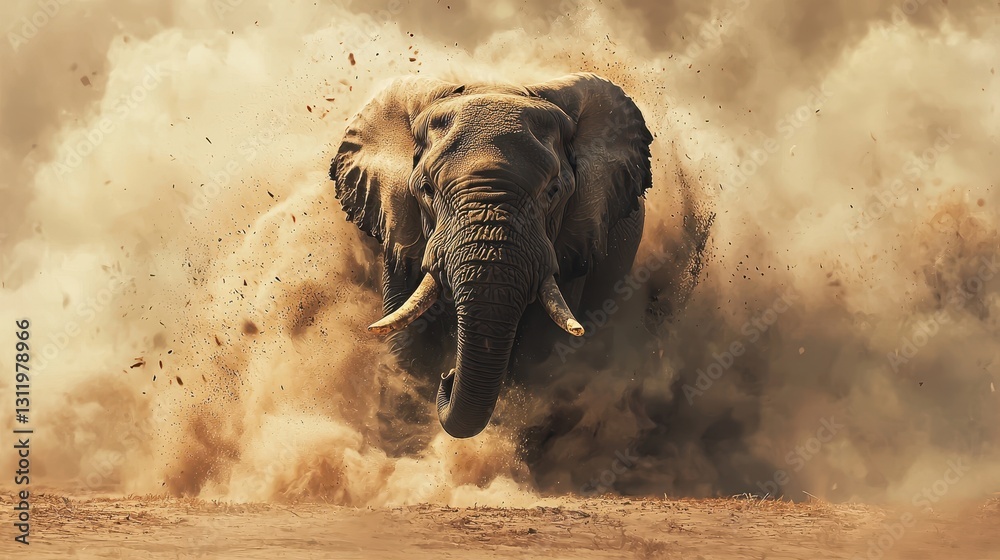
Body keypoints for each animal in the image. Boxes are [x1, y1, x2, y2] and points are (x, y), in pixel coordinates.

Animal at [330, 72, 654, 438]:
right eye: (426, 189)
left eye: (553, 192)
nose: (447, 376)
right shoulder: (398, 222)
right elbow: (407, 336)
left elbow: (540, 345)